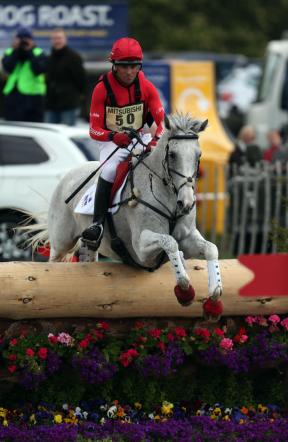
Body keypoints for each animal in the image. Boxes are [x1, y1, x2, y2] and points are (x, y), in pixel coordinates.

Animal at [37, 111, 224, 318]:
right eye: (173, 155)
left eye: (199, 155)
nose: (187, 204)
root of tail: (69, 174)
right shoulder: (141, 250)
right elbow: (170, 242)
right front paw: (185, 292)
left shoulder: (188, 238)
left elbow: (210, 248)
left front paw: (214, 300)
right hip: (61, 242)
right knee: (53, 262)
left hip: (89, 246)